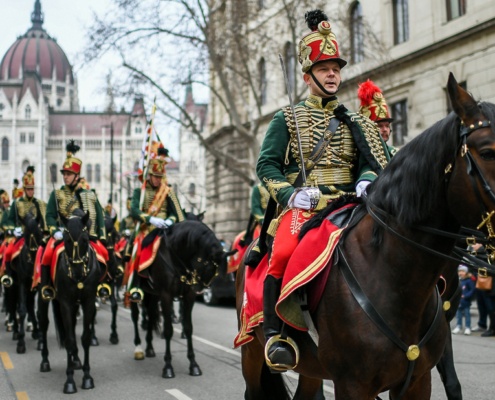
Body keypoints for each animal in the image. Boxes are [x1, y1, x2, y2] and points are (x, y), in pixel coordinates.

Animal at [38, 209, 106, 394]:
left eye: (85, 240)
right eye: (67, 240)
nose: (77, 273)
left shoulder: (88, 302)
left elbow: (84, 338)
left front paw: (87, 377)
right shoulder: (66, 303)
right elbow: (69, 339)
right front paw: (70, 381)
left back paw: (76, 360)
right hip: (44, 297)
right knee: (44, 324)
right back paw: (45, 362)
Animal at [130, 220, 234, 380]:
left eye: (215, 272)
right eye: (207, 265)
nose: (201, 289)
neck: (176, 257)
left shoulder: (188, 296)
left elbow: (188, 328)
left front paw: (193, 365)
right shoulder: (166, 295)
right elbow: (168, 330)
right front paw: (168, 367)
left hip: (153, 295)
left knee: (151, 314)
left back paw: (149, 348)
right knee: (136, 317)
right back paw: (138, 348)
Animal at [236, 73, 495, 398]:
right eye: (487, 152)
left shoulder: (418, 379)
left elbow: (452, 382)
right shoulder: (353, 384)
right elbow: (267, 162)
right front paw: (303, 196)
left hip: (311, 367)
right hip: (252, 352)